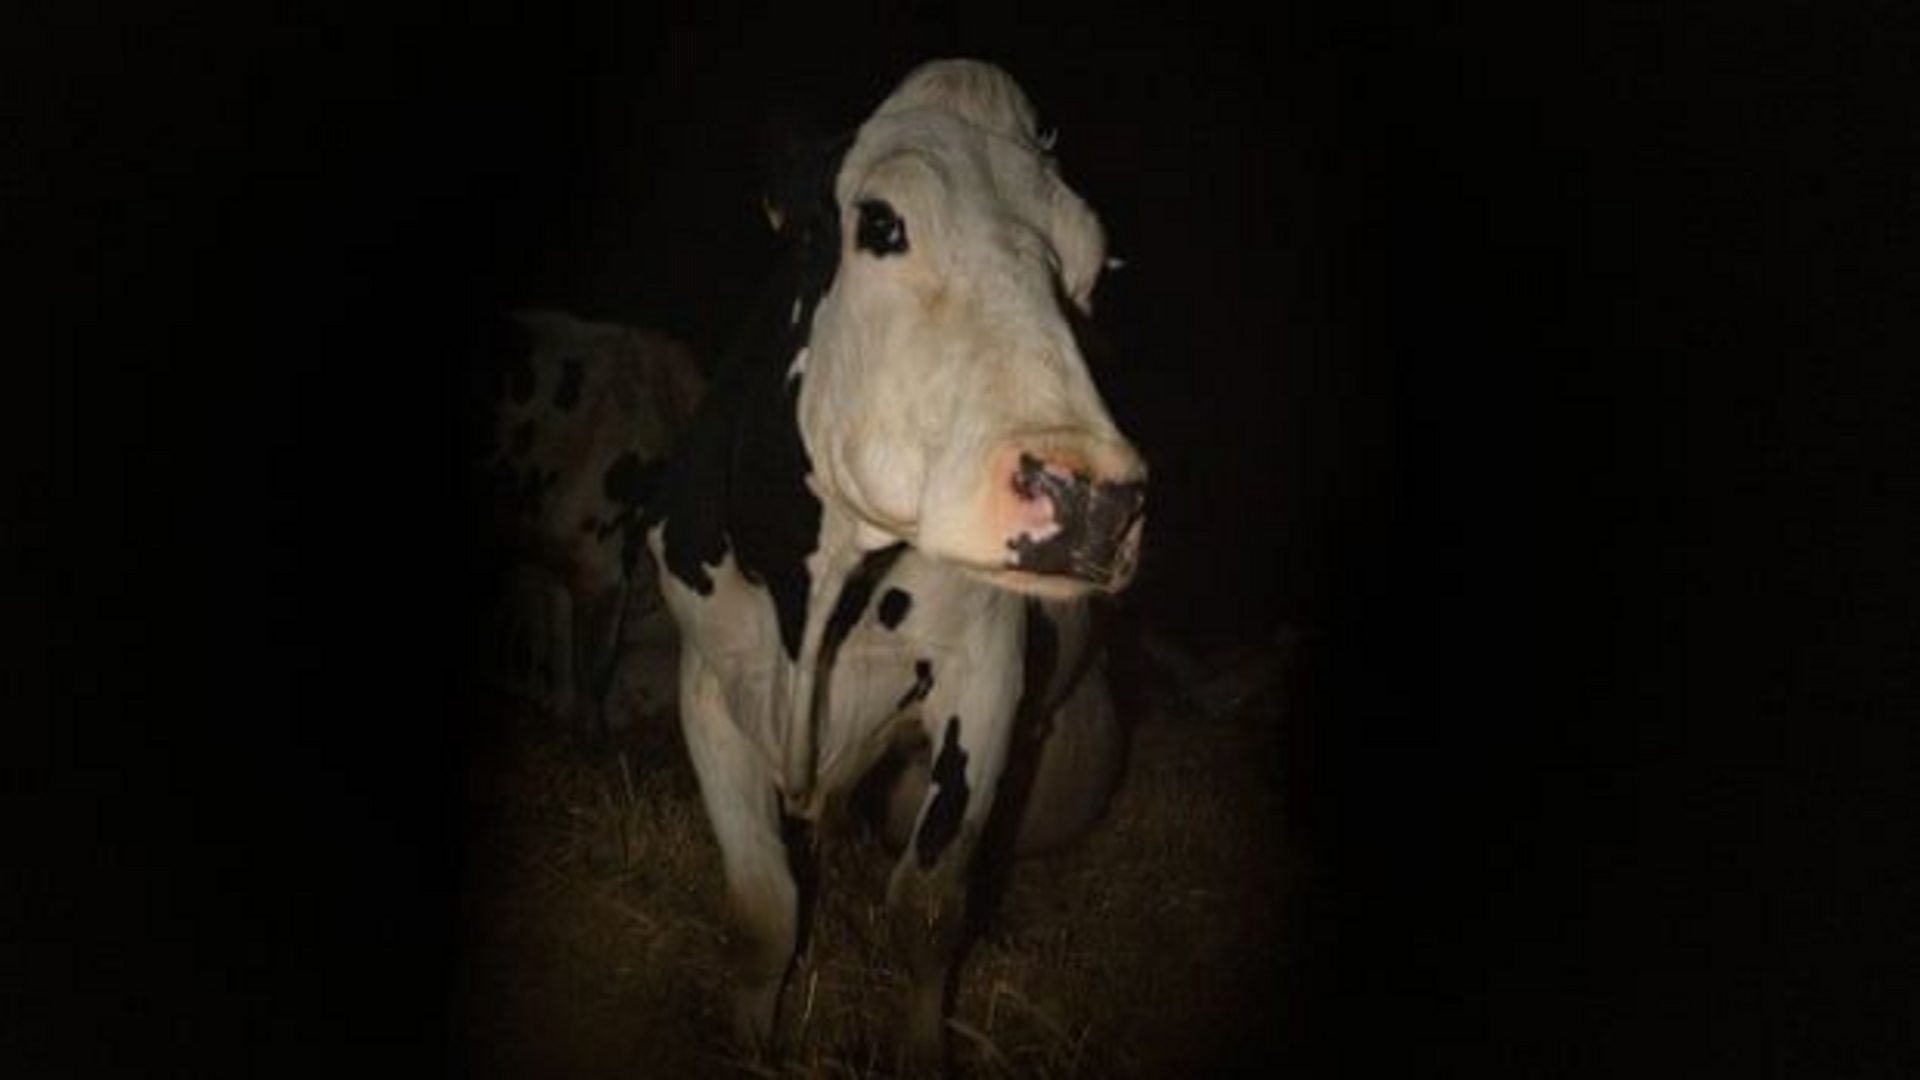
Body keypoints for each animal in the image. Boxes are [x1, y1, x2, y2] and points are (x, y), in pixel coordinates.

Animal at [643, 59, 1147, 1068]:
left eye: (1089, 268)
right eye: (881, 223)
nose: (1094, 499)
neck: (816, 595)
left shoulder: (984, 679)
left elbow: (927, 909)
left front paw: (919, 1049)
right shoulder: (707, 682)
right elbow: (762, 909)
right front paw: (751, 1041)